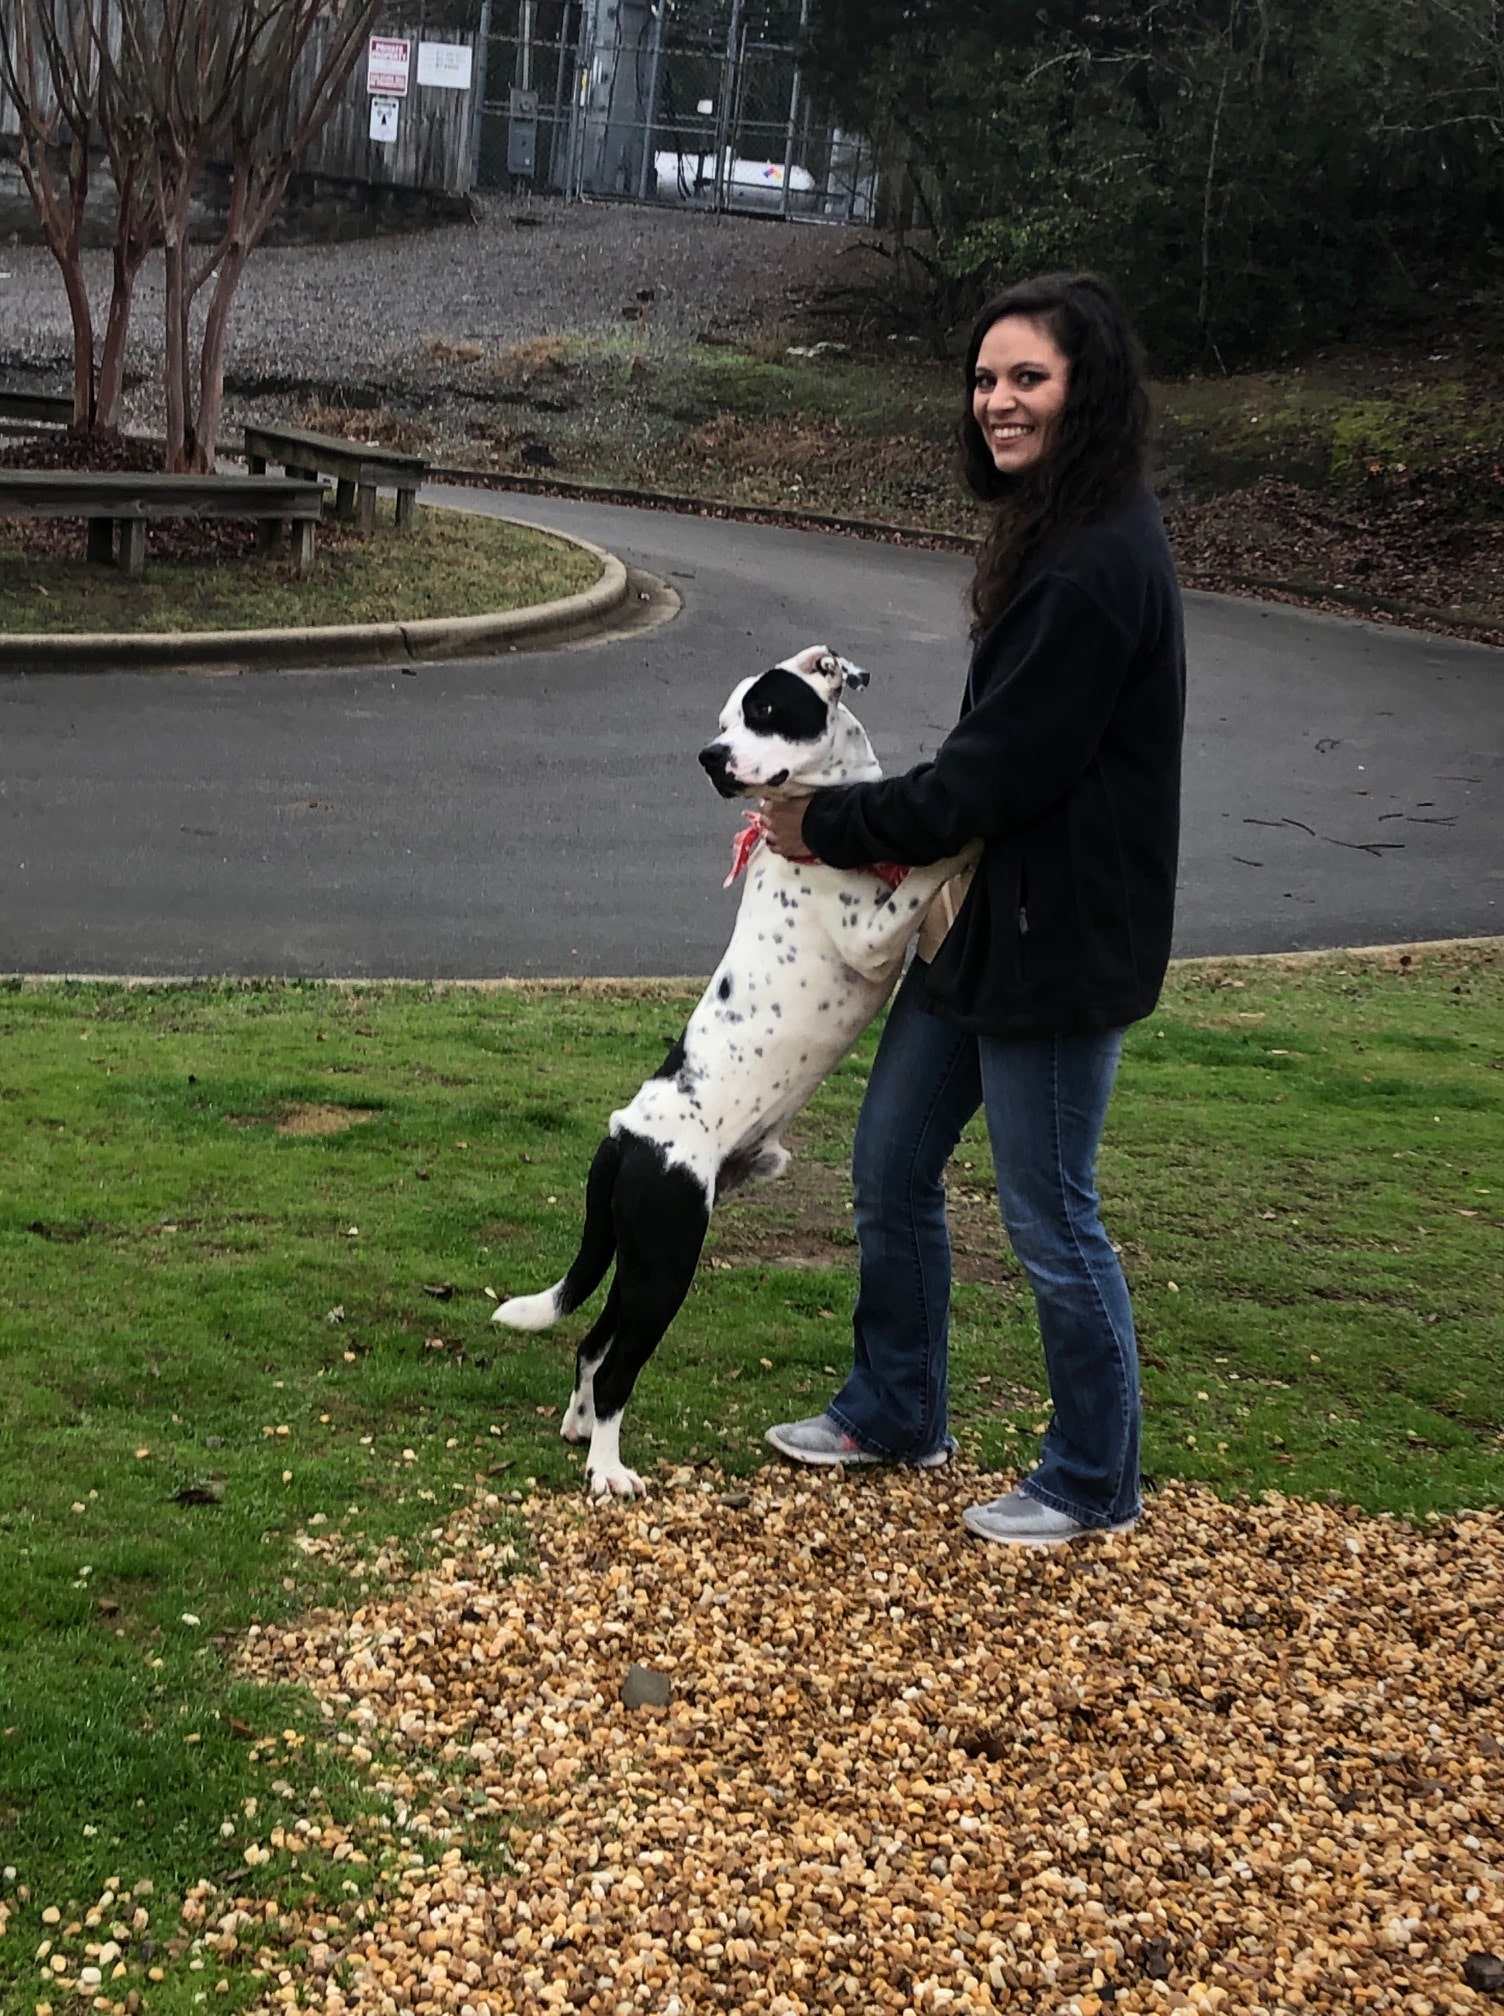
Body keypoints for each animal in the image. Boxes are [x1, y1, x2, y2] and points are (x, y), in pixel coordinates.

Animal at [489, 645, 971, 1499]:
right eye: (726, 720)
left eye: (764, 712)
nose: (709, 758)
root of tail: (624, 1138)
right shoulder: (872, 935)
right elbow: (924, 877)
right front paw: (970, 842)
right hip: (666, 1262)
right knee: (618, 1365)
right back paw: (608, 1470)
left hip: (638, 1258)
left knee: (593, 1345)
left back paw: (579, 1429)